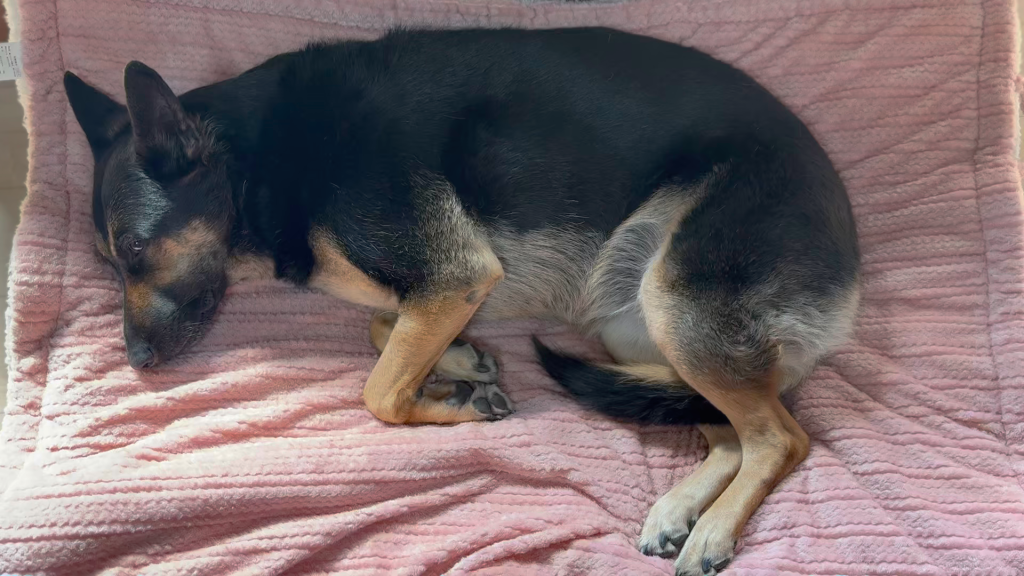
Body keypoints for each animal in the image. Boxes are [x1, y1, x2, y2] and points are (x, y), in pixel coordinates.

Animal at [63, 27, 859, 575]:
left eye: (134, 253)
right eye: (109, 261)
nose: (135, 362)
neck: (255, 160)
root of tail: (849, 249)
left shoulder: (455, 275)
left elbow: (379, 391)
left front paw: (458, 404)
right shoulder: (443, 292)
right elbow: (382, 329)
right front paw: (466, 364)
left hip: (676, 303)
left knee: (781, 437)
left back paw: (713, 532)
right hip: (632, 322)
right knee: (723, 430)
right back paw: (676, 511)